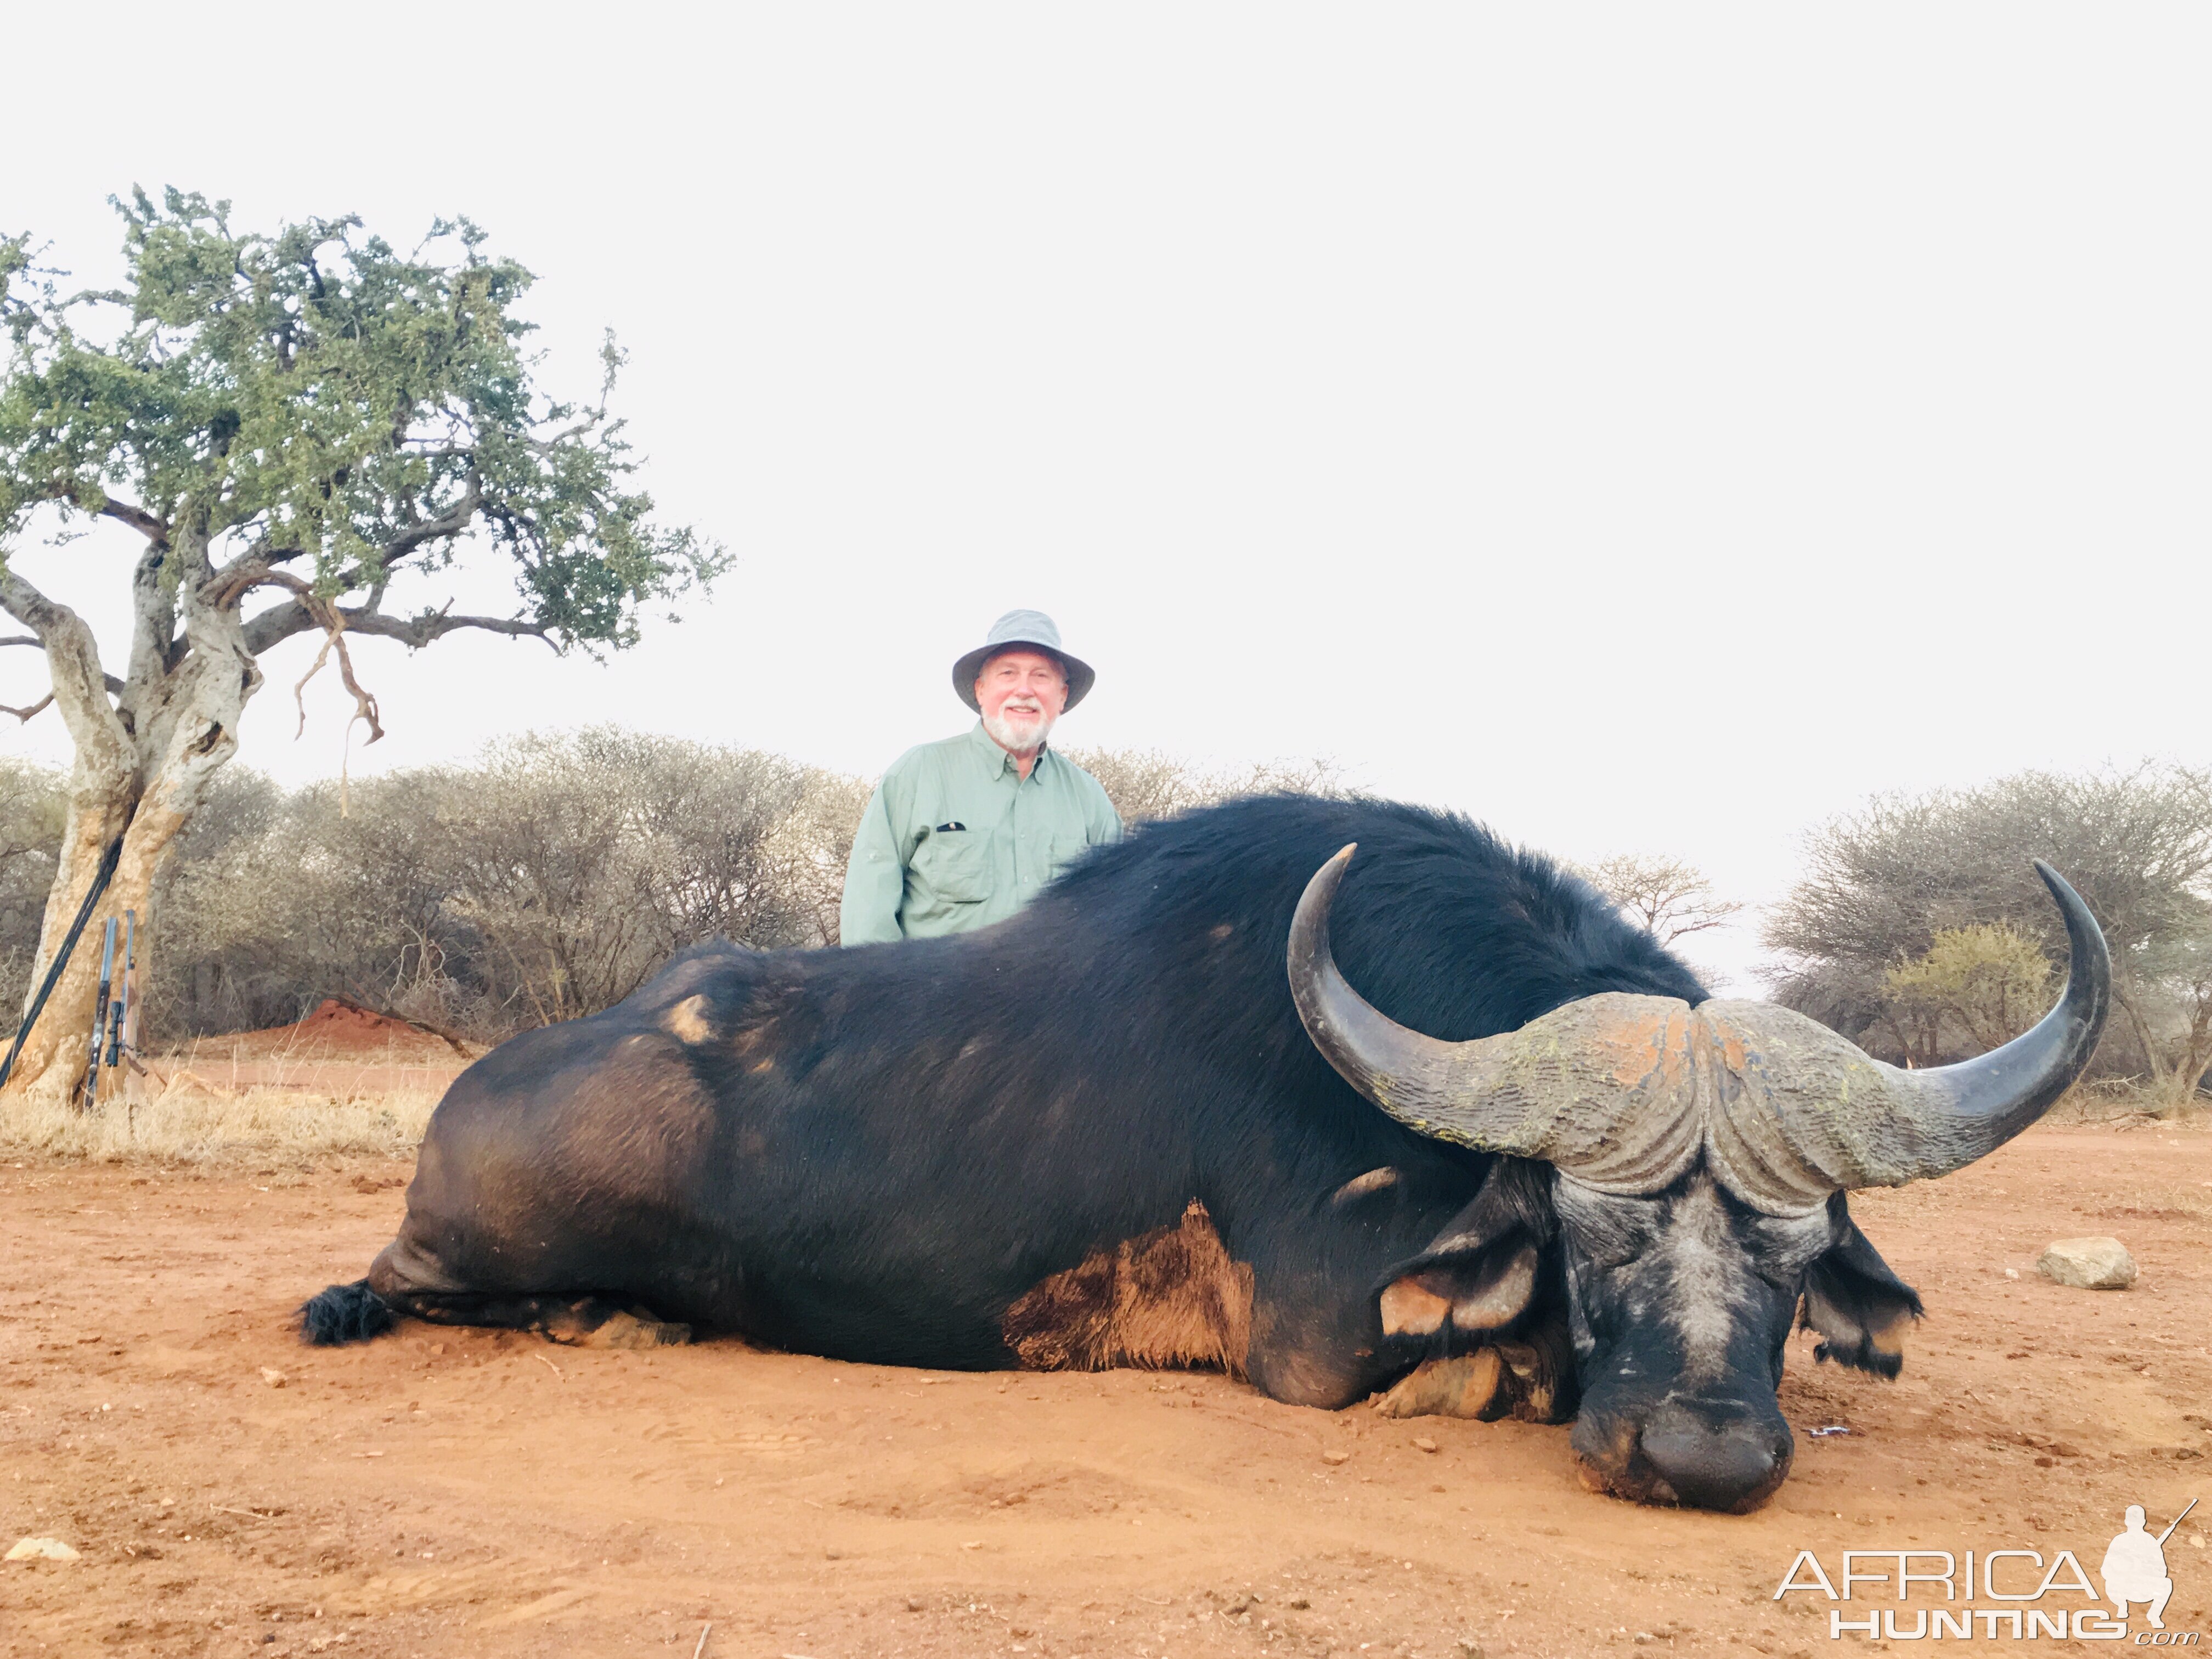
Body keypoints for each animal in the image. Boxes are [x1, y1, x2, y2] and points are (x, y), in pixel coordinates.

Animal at [298, 800, 2106, 1513]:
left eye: (1798, 1264)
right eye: (1596, 1235)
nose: (1708, 1458)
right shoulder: (1322, 1345)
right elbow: (1498, 1362)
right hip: (467, 1246)